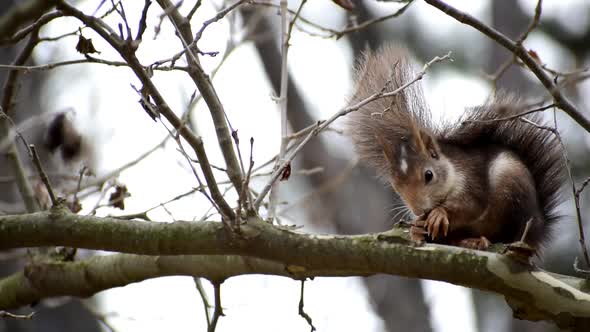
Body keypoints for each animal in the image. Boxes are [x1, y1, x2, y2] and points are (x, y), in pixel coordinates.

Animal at [350, 46, 568, 252]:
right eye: (395, 185)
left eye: (429, 175)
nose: (419, 211)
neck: (451, 169)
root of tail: (538, 230)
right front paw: (417, 226)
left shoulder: (472, 179)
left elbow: (471, 206)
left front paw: (439, 214)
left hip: (512, 193)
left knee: (504, 235)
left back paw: (480, 241)